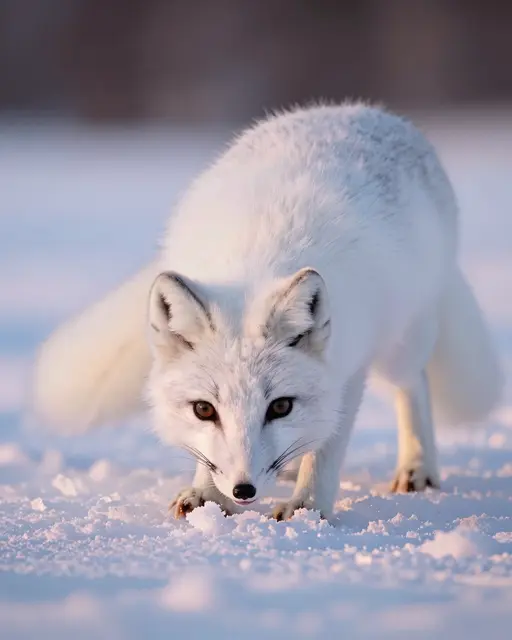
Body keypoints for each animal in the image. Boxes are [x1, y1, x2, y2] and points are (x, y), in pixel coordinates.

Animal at [32, 101, 503, 522]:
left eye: (280, 406)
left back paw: (417, 468)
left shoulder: (347, 373)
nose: (244, 490)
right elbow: (212, 453)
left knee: (413, 386)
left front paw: (308, 507)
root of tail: (366, 110)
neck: (256, 264)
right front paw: (207, 495)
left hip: (399, 345)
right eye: (204, 410)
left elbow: (326, 450)